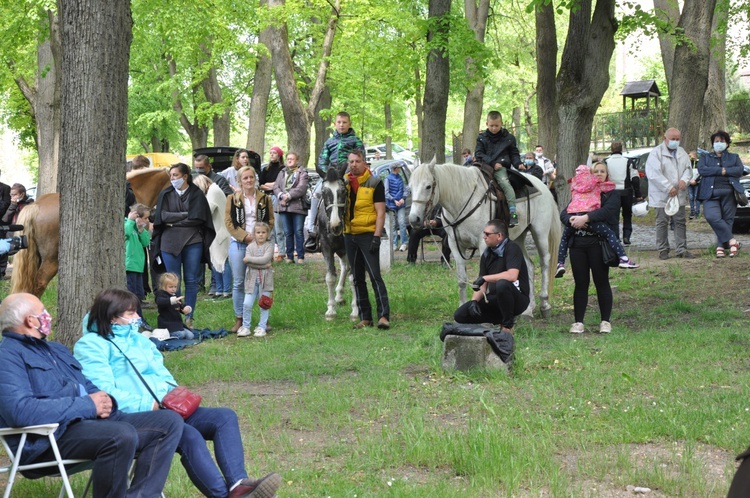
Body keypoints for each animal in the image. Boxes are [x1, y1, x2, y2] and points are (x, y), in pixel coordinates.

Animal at [408, 161, 560, 318]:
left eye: (428, 186)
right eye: (410, 188)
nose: (414, 219)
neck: (462, 200)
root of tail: (543, 186)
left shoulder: (483, 244)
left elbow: (485, 279)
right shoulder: (454, 244)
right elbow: (462, 280)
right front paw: (462, 307)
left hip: (540, 232)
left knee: (544, 262)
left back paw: (544, 304)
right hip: (518, 237)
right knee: (528, 265)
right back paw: (528, 309)